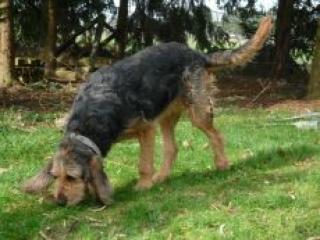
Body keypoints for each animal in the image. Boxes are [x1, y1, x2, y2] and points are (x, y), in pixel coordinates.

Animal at [22, 16, 272, 205]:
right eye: (56, 177)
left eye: (73, 177)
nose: (60, 202)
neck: (91, 117)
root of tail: (197, 54)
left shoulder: (146, 130)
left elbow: (143, 163)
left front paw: (142, 185)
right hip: (166, 118)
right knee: (172, 148)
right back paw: (161, 177)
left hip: (197, 112)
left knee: (215, 135)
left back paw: (222, 165)